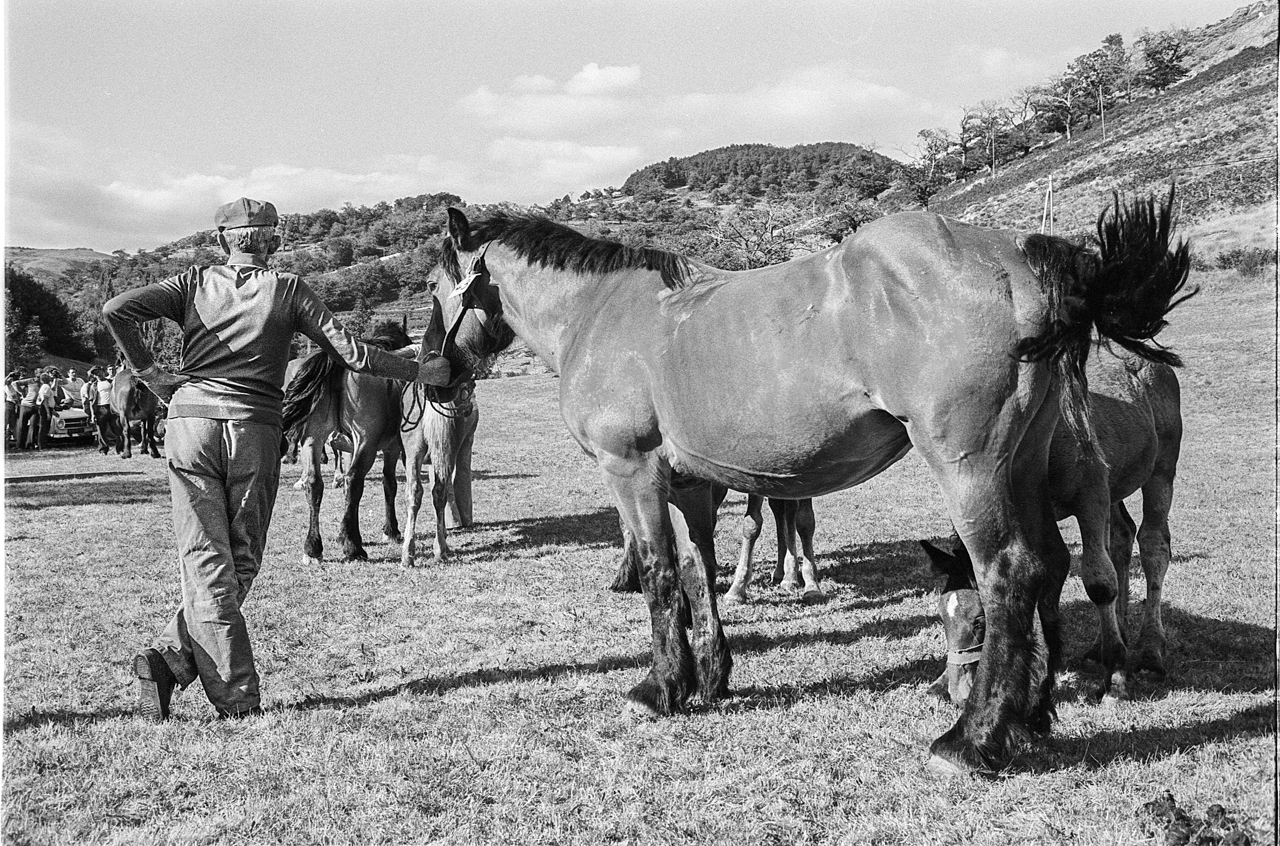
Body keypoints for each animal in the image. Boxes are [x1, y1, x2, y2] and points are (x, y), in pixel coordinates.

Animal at [442, 189, 1198, 773]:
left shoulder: (631, 471)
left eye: (434, 285)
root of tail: (1020, 259)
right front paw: (709, 676)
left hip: (973, 468)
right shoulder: (688, 484)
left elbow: (658, 574)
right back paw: (1030, 715)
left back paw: (974, 739)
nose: (434, 364)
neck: (602, 314)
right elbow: (698, 570)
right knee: (1052, 564)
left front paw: (659, 688)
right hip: (1026, 463)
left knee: (1012, 572)